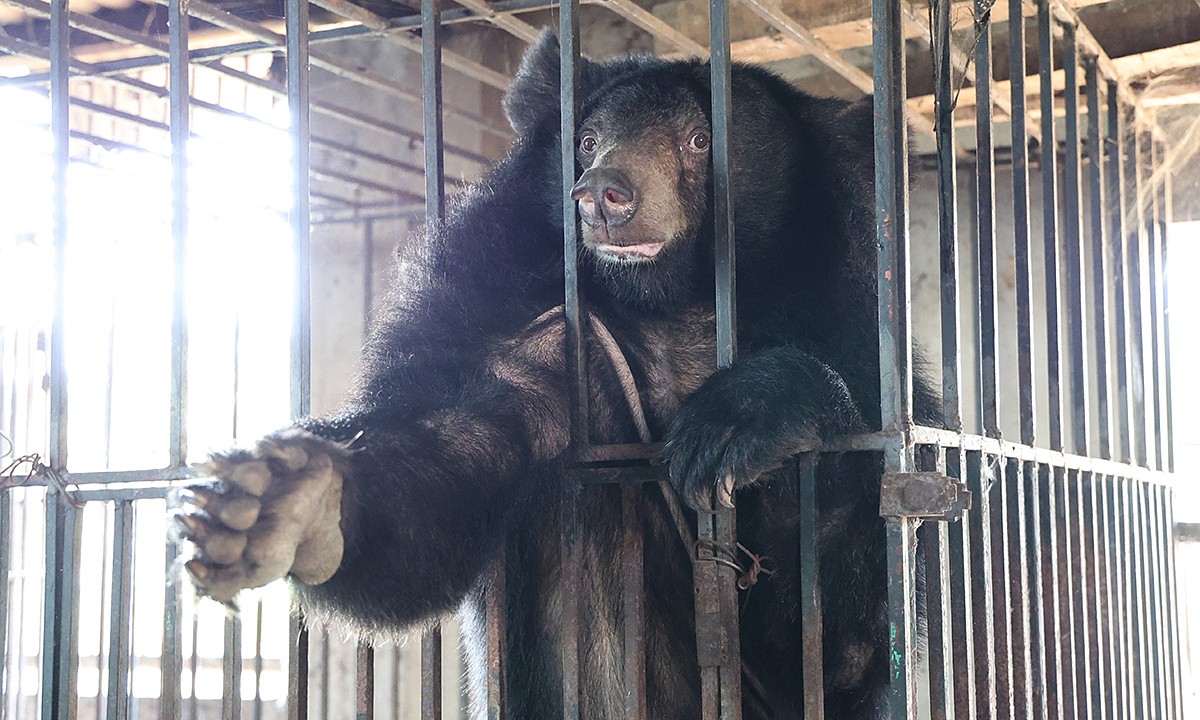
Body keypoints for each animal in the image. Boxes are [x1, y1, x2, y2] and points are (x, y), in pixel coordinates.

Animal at [171, 30, 937, 720]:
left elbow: (840, 646)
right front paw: (286, 500)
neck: (673, 305)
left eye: (699, 141)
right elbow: (431, 487)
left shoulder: (850, 326)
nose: (603, 193)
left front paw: (737, 424)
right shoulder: (492, 309)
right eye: (588, 141)